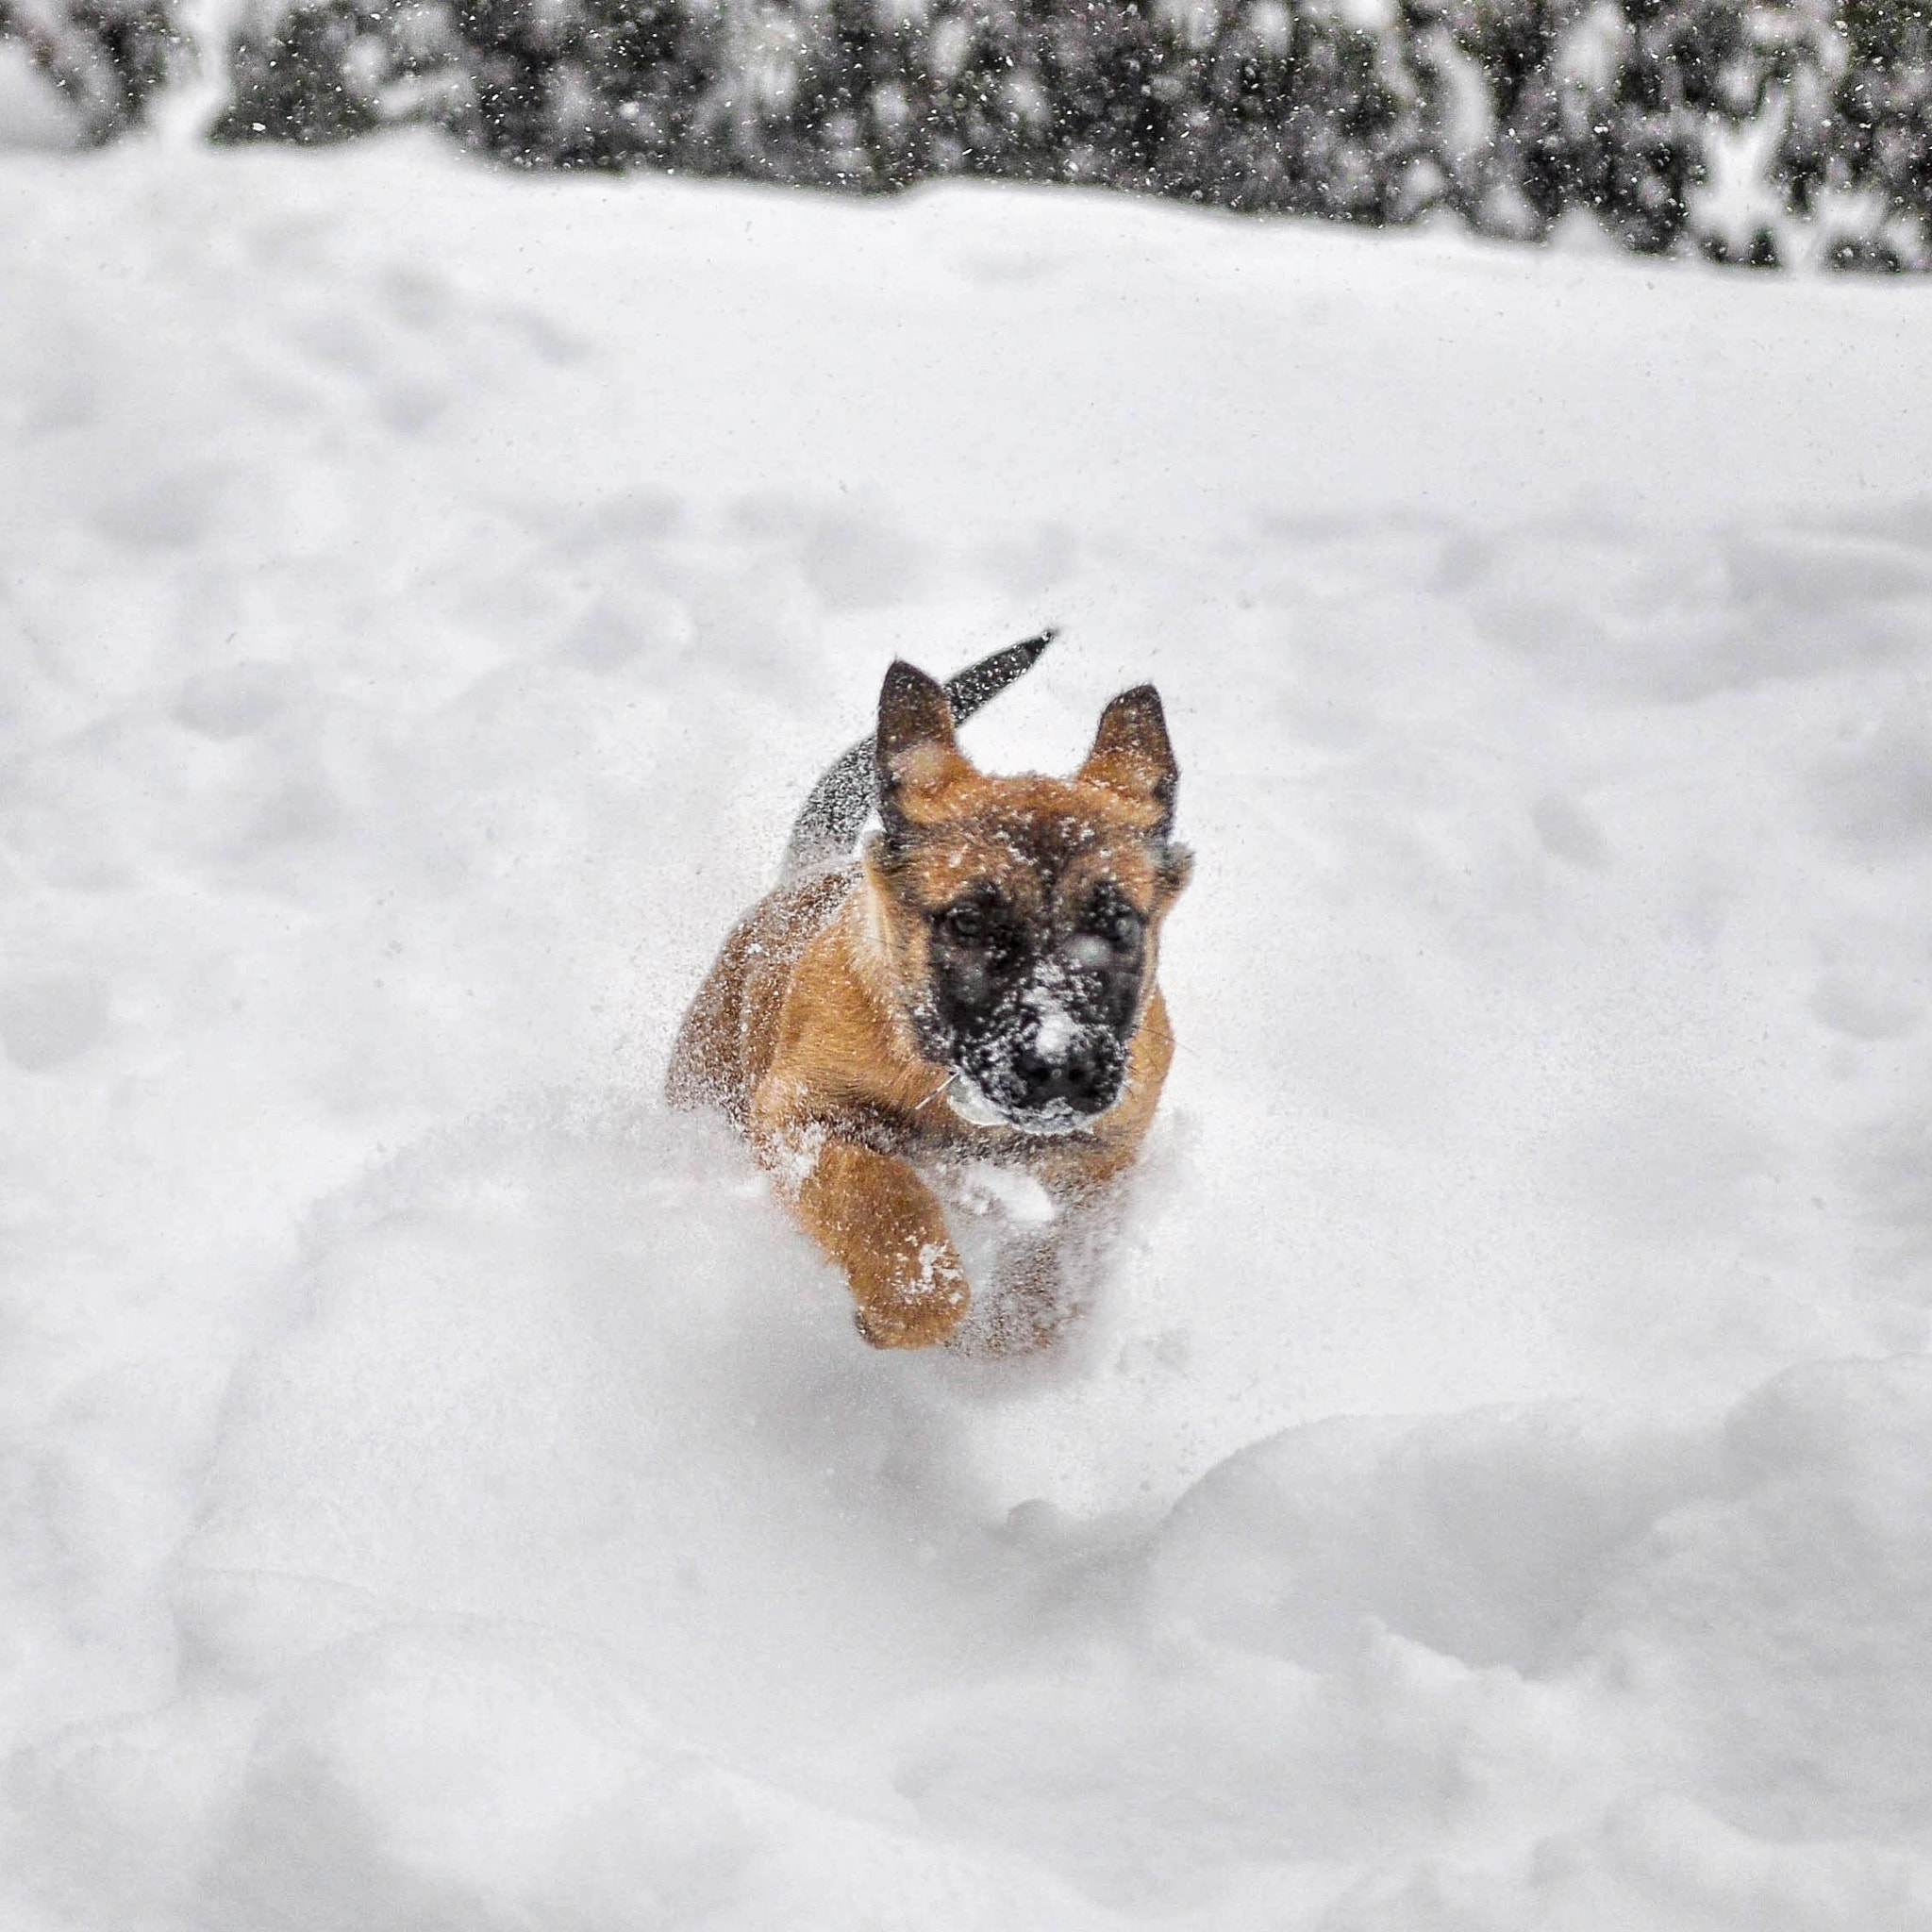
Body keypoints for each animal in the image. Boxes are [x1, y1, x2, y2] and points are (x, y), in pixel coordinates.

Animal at [668, 641, 1190, 1352]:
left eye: (1118, 927)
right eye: (967, 923)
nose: (1060, 1068)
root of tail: (808, 869)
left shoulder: (1098, 1165)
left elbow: (1052, 1271)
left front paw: (1011, 1340)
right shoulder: (803, 1117)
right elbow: (882, 1199)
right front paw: (909, 1302)